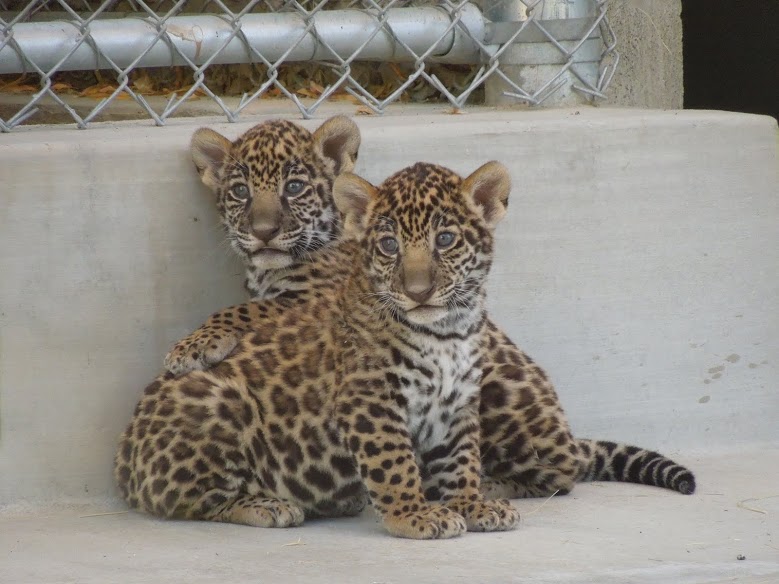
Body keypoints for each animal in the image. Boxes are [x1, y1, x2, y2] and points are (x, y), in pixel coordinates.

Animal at [115, 161, 523, 539]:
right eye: (390, 246)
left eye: (446, 239)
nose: (417, 292)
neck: (448, 332)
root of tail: (123, 459)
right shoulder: (370, 401)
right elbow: (395, 464)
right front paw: (413, 515)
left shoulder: (459, 404)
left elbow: (462, 461)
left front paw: (471, 504)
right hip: (219, 401)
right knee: (192, 501)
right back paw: (269, 505)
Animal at [164, 117, 697, 500]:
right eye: (239, 191)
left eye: (293, 188)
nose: (264, 232)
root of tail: (568, 435)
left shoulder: (312, 300)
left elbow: (240, 311)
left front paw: (189, 347)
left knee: (558, 476)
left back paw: (487, 485)